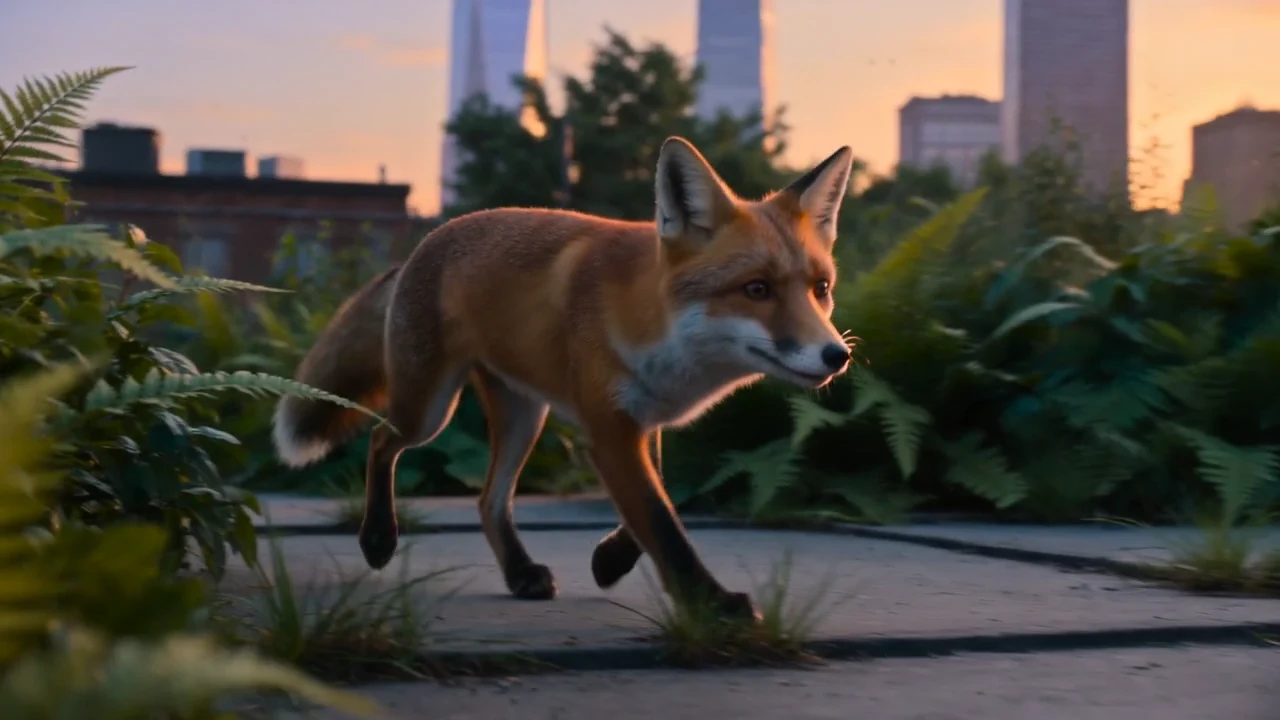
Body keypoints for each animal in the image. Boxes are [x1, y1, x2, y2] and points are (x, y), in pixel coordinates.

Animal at [271, 136, 855, 620]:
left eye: (821, 288)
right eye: (757, 289)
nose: (837, 355)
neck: (657, 327)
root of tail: (422, 243)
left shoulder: (640, 422)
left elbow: (655, 502)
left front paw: (612, 561)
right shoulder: (610, 428)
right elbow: (661, 522)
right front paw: (710, 604)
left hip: (524, 417)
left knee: (488, 500)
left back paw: (519, 573)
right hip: (430, 410)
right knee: (380, 440)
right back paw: (377, 538)